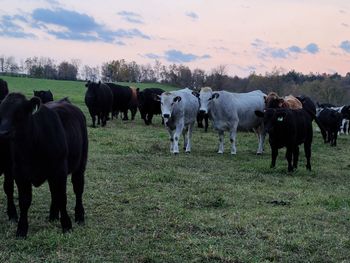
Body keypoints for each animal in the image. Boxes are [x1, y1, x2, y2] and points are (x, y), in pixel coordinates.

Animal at [0, 94, 88, 238]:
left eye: (19, 112)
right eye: (1, 113)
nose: (3, 133)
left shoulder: (60, 171)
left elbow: (62, 197)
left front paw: (67, 225)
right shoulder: (20, 174)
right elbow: (24, 201)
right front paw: (21, 229)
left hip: (80, 165)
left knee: (78, 188)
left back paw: (79, 216)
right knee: (54, 192)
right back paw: (53, 215)